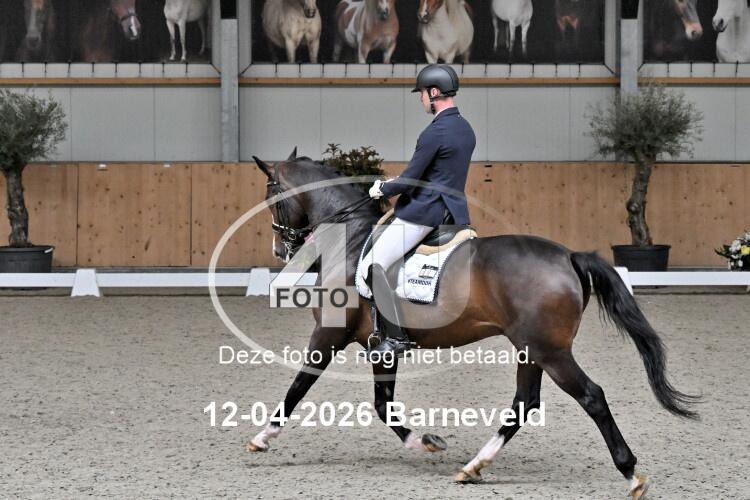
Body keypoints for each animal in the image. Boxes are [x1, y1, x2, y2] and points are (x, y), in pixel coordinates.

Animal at [244, 152, 699, 499]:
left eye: (271, 198)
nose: (280, 249)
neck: (352, 240)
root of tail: (568, 256)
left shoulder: (330, 335)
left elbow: (298, 386)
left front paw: (262, 437)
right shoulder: (380, 345)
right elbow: (382, 404)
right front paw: (427, 441)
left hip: (550, 351)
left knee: (591, 397)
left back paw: (631, 473)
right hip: (530, 348)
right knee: (524, 403)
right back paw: (473, 466)